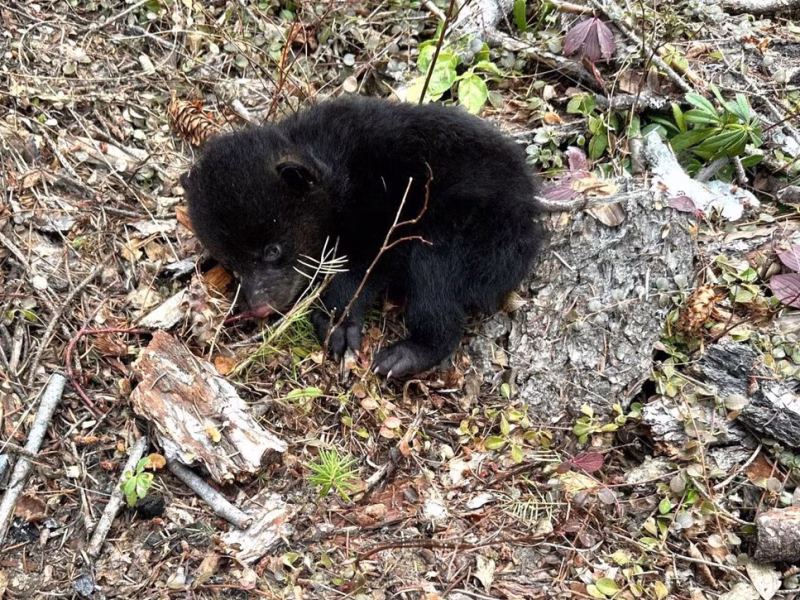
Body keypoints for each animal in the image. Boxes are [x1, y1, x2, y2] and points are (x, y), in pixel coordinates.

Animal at [183, 96, 543, 378]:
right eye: (232, 266)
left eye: (272, 249)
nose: (259, 307)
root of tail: (529, 224)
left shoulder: (382, 211)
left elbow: (363, 265)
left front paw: (338, 324)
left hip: (469, 232)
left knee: (435, 282)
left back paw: (405, 354)